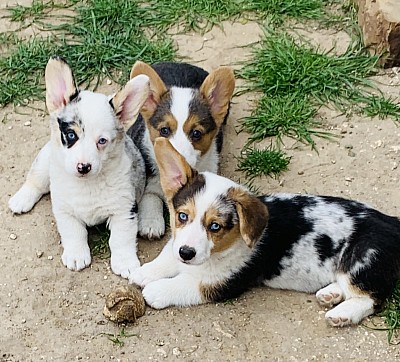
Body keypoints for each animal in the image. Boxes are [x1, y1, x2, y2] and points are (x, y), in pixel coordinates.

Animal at [9, 55, 150, 278]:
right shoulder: (64, 211)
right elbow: (74, 233)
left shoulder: (124, 210)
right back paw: (21, 200)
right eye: (71, 135)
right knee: (35, 181)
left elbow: (121, 239)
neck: (87, 185)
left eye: (102, 141)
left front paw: (125, 262)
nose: (83, 166)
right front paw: (76, 256)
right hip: (44, 162)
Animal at [132, 137, 400, 326]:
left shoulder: (222, 283)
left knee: (371, 299)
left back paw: (342, 313)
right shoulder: (176, 245)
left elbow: (185, 284)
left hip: (362, 260)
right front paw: (144, 273)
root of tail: (391, 222)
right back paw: (330, 294)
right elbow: (166, 258)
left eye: (215, 226)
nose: (187, 253)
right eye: (182, 216)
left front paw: (156, 290)